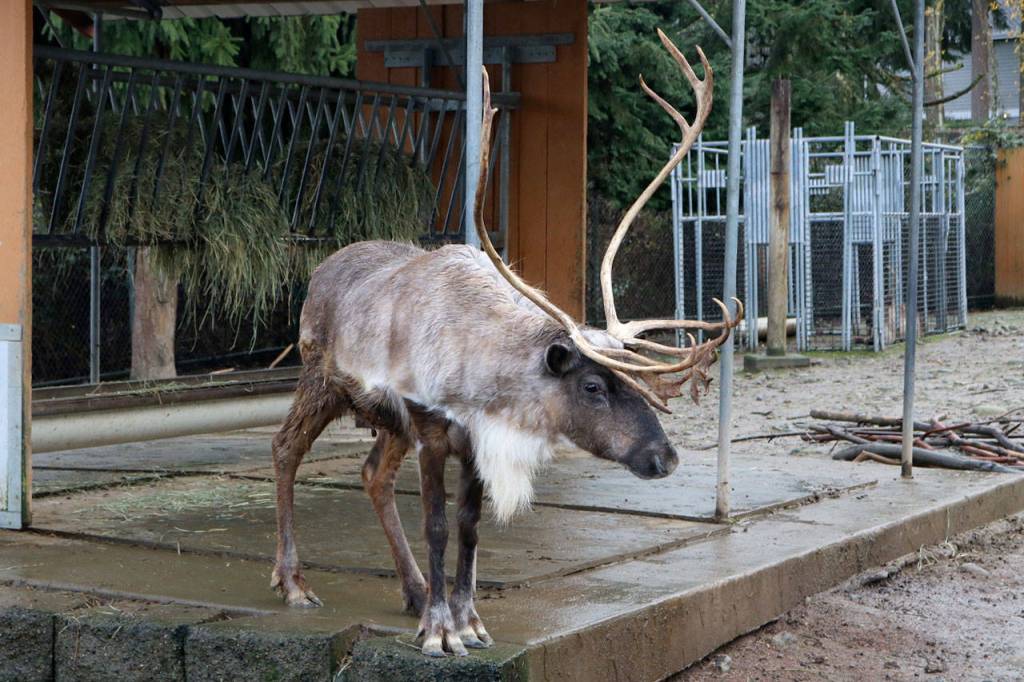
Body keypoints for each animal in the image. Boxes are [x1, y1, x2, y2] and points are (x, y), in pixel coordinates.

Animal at [271, 29, 740, 657]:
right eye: (593, 386)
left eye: (638, 383)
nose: (665, 457)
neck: (489, 379)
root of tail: (321, 270)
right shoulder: (431, 427)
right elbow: (437, 525)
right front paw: (440, 632)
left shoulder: (473, 440)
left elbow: (470, 528)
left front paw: (467, 620)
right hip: (322, 381)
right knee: (286, 449)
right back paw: (295, 583)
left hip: (386, 421)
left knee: (373, 476)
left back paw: (413, 591)